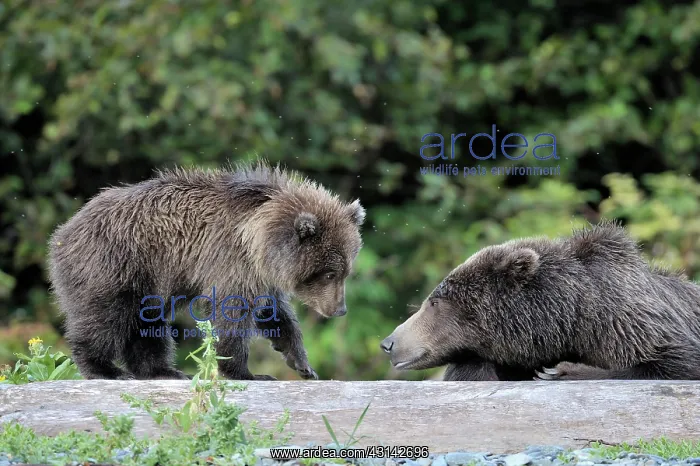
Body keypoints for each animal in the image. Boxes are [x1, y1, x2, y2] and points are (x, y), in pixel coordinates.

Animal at [47, 161, 365, 381]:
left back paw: (164, 370)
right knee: (105, 316)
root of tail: (62, 232)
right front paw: (246, 372)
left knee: (147, 323)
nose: (340, 309)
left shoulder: (260, 275)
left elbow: (276, 313)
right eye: (328, 273)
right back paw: (104, 368)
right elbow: (232, 314)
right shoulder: (230, 261)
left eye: (345, 272)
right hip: (117, 264)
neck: (260, 239)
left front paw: (301, 362)